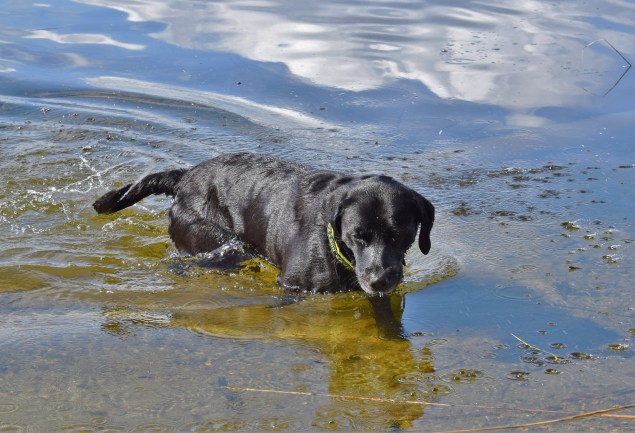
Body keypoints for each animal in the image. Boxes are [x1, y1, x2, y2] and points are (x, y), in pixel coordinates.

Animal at [93, 152, 434, 295]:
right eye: (357, 236)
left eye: (399, 236)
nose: (378, 281)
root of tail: (184, 177)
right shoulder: (293, 285)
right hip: (214, 241)